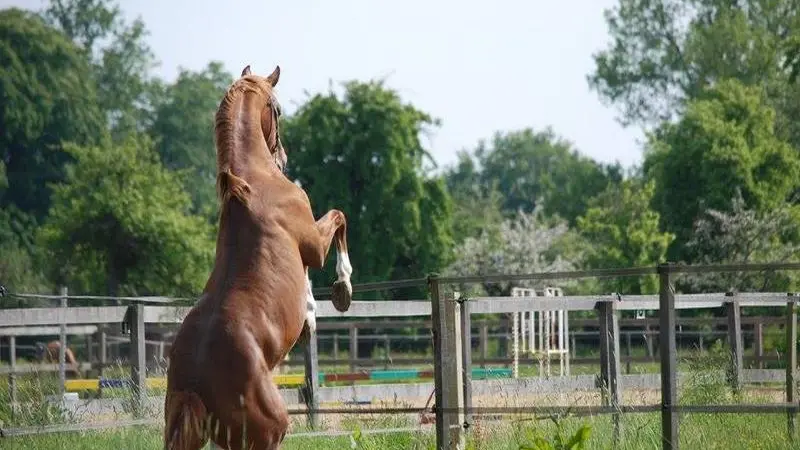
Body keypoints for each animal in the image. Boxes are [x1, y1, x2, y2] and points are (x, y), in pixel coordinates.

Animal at [163, 64, 354, 450]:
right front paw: (342, 289)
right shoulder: (314, 245)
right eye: (277, 109)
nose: (283, 158)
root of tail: (194, 386)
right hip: (269, 432)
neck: (254, 181)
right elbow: (340, 217)